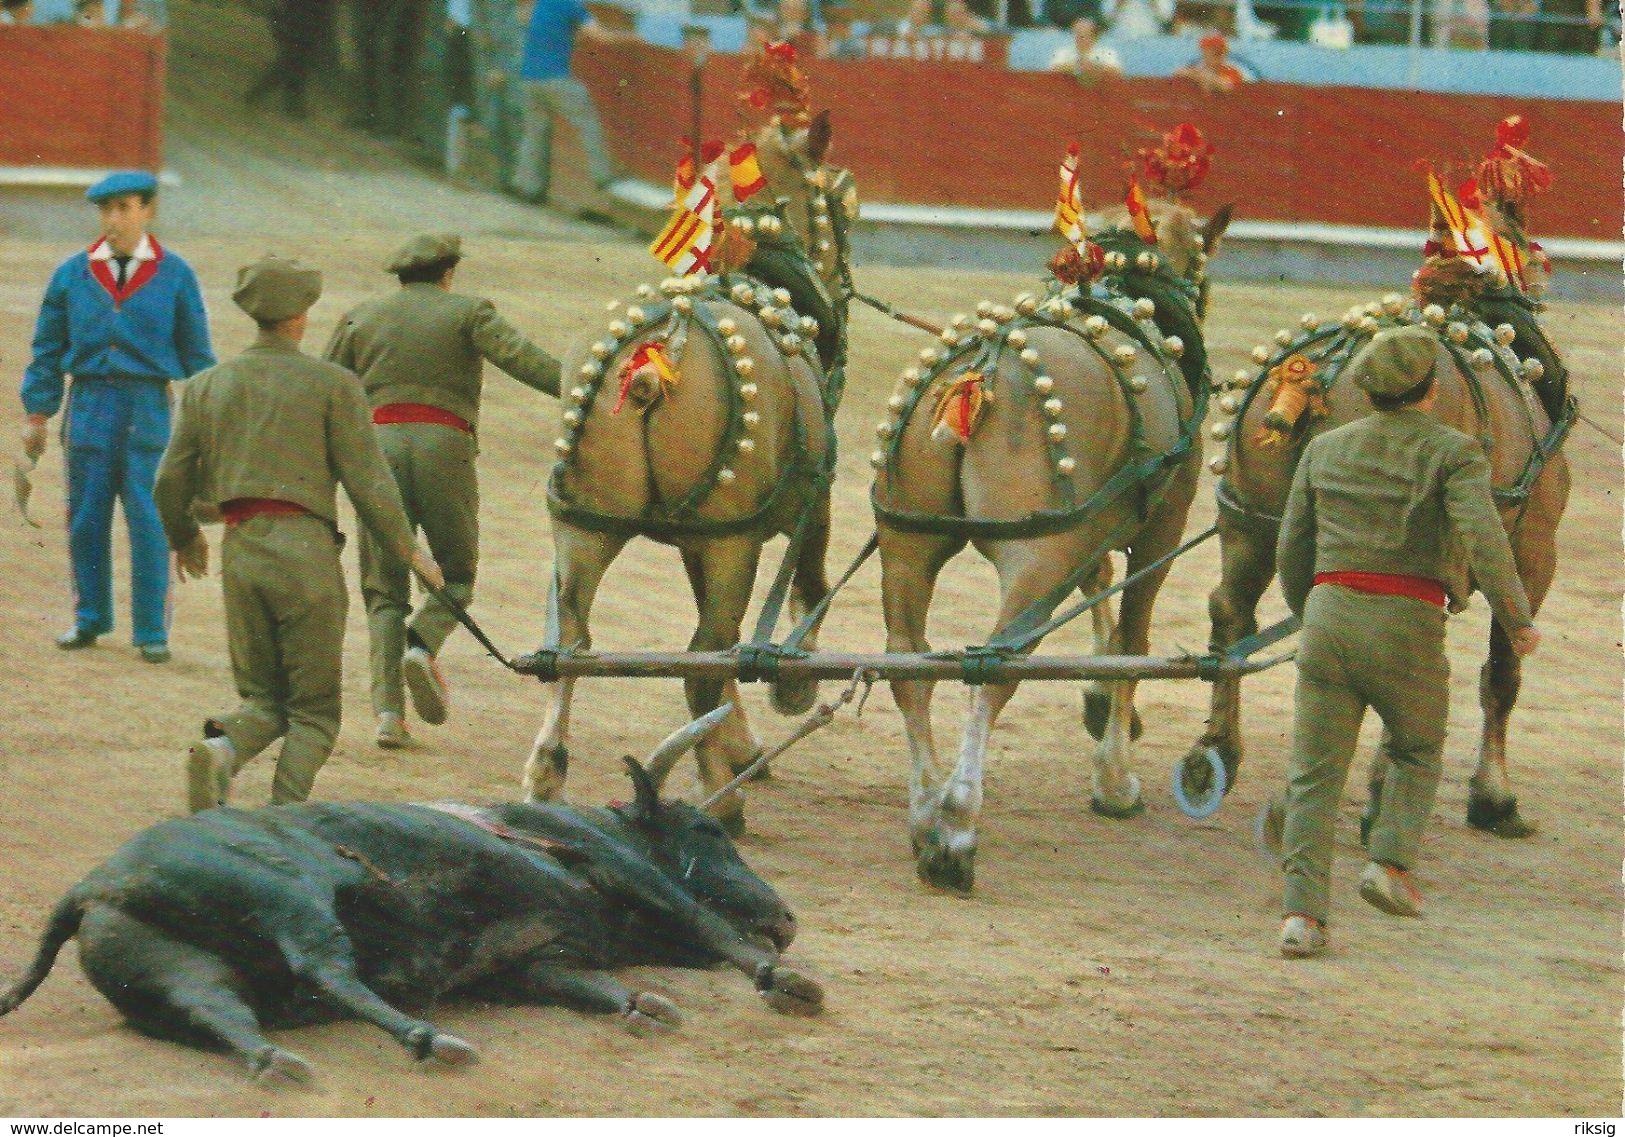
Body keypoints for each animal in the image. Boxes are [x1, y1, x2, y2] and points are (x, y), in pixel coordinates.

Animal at [0, 711, 812, 1085]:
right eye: (706, 826)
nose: (787, 917)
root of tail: (94, 883)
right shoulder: (614, 865)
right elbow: (702, 920)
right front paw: (783, 979)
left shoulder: (533, 962)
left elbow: (587, 985)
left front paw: (643, 1004)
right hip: (294, 895)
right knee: (325, 969)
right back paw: (429, 1039)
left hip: (168, 966)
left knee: (215, 1006)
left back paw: (276, 1061)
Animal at [871, 202, 1222, 890]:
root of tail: (982, 367)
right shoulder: (1161, 531)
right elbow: (1133, 641)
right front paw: (1115, 779)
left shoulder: (1093, 533)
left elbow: (1101, 588)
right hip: (1036, 561)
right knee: (991, 672)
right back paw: (955, 827)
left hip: (908, 547)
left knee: (909, 667)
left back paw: (925, 811)